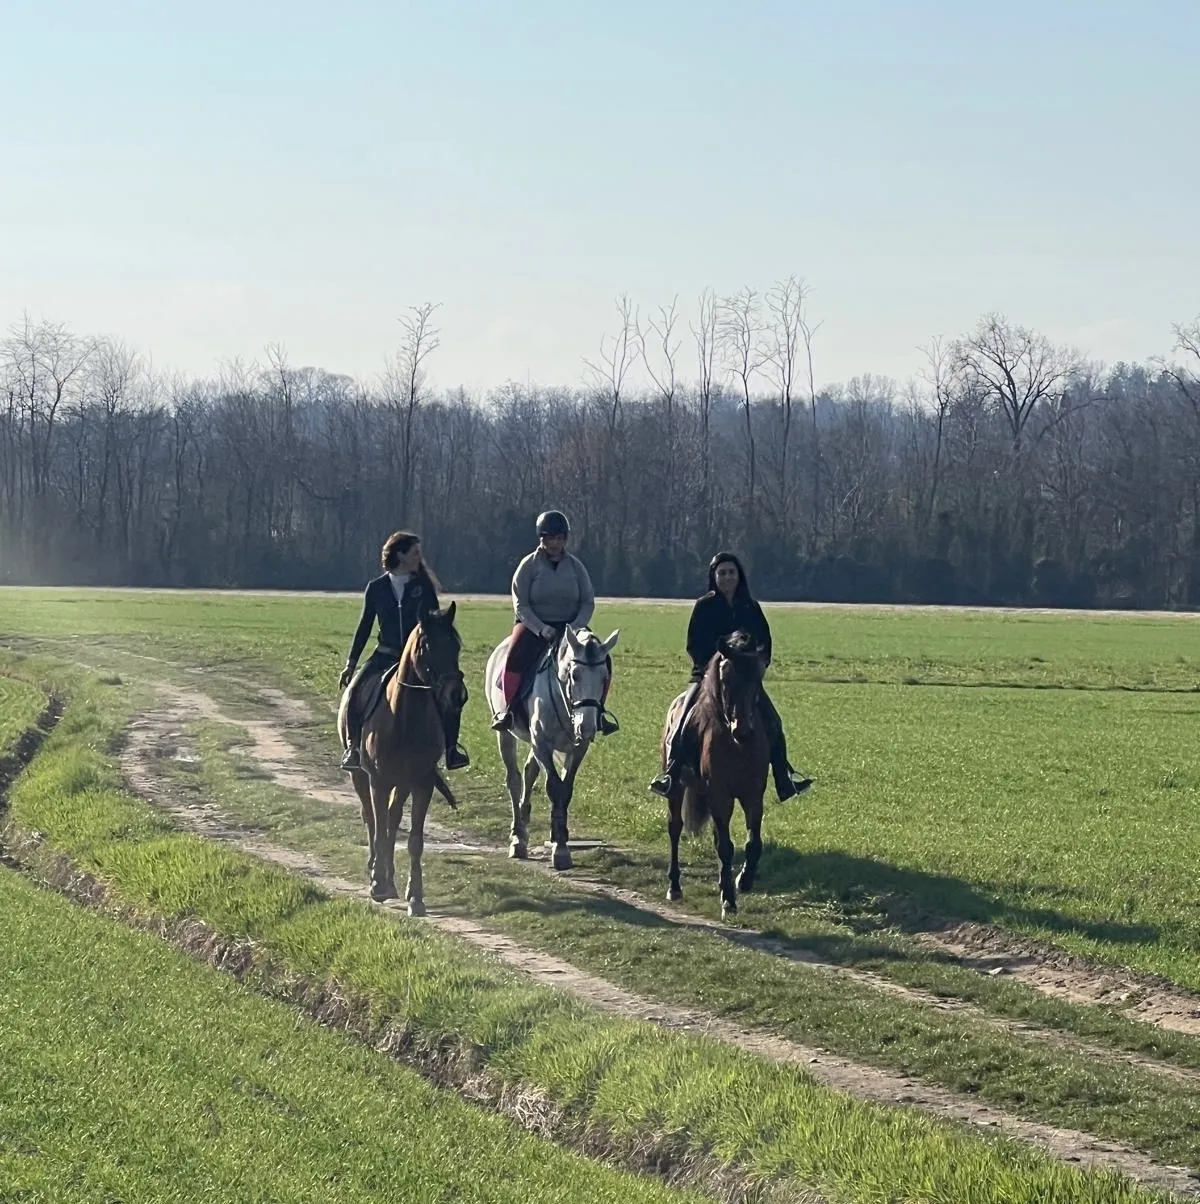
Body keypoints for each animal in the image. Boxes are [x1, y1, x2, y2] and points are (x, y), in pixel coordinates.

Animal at [336, 602, 467, 914]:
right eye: (426, 645)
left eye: (456, 646)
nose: (457, 695)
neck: (406, 718)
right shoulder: (378, 781)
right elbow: (379, 827)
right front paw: (377, 884)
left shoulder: (422, 783)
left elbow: (414, 839)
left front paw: (415, 896)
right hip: (360, 776)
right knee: (372, 819)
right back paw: (377, 872)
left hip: (402, 782)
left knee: (393, 820)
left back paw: (390, 878)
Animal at [483, 623, 619, 870]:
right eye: (574, 675)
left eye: (605, 677)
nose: (587, 727)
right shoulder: (542, 743)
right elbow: (554, 787)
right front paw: (560, 849)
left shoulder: (577, 748)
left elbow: (565, 790)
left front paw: (560, 840)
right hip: (505, 734)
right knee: (514, 779)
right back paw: (517, 837)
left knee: (529, 772)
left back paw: (524, 823)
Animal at [659, 629, 769, 919]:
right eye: (727, 679)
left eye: (757, 679)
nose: (742, 730)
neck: (737, 745)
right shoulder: (720, 795)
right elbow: (726, 847)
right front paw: (729, 899)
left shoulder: (753, 795)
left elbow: (753, 843)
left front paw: (744, 880)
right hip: (676, 788)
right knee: (675, 828)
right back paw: (674, 886)